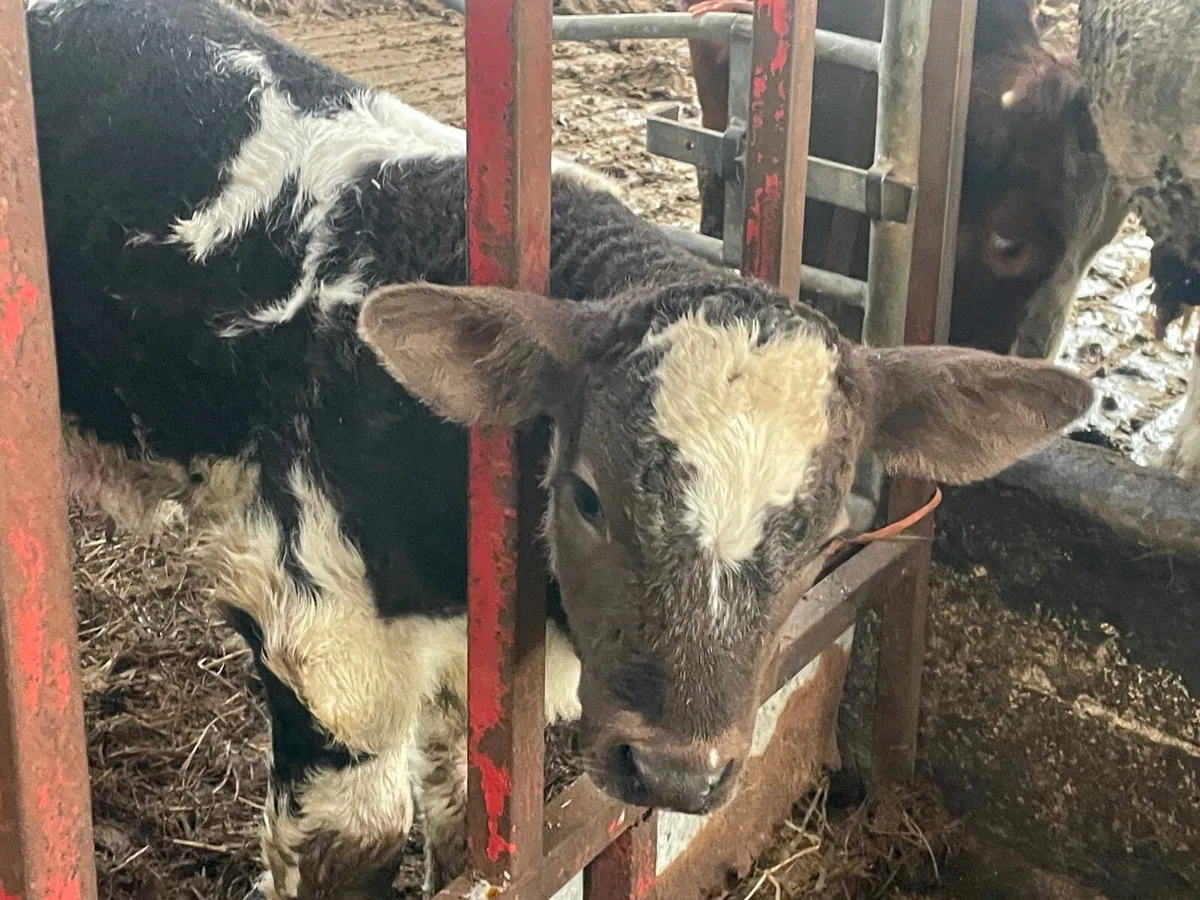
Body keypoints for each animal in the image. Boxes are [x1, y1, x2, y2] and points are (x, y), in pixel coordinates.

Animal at [24, 0, 1094, 897]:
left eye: (829, 529)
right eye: (583, 494)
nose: (676, 772)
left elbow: (470, 822)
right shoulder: (317, 631)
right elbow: (351, 844)